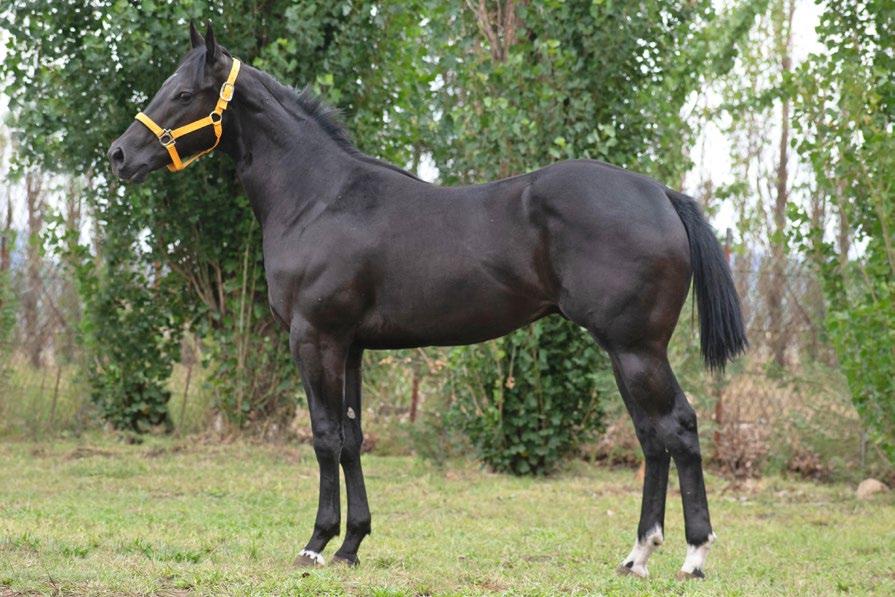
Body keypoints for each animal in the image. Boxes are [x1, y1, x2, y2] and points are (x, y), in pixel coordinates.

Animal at [108, 23, 746, 579]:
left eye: (183, 93)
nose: (118, 155)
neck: (319, 198)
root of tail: (660, 194)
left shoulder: (315, 338)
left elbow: (324, 437)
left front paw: (316, 545)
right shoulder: (351, 346)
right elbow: (352, 438)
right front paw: (352, 545)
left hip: (636, 347)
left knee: (678, 428)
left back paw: (693, 557)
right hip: (623, 351)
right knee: (652, 437)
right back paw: (637, 557)